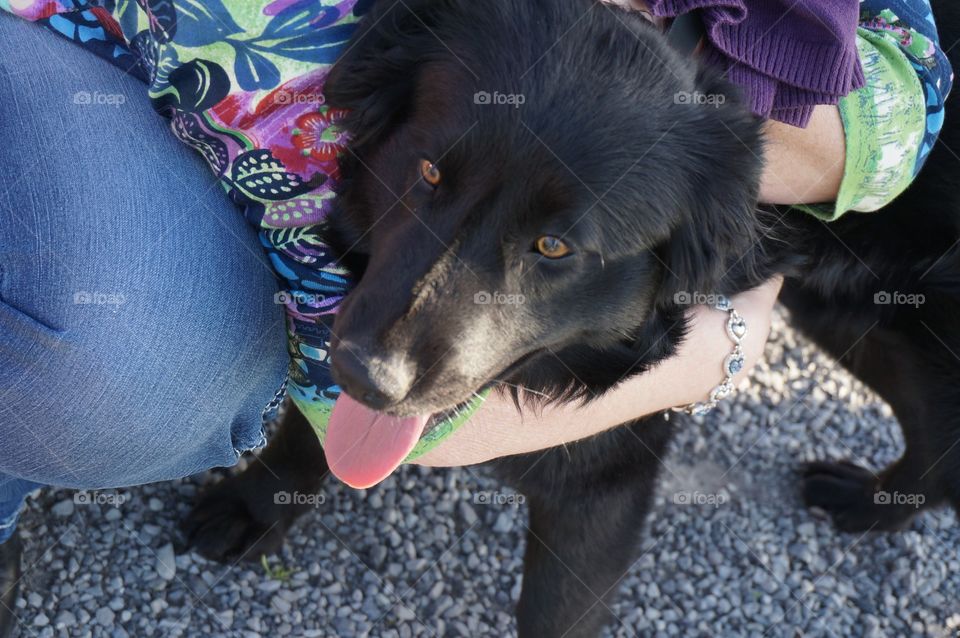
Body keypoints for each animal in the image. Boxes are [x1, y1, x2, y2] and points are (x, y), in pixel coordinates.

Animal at [186, 2, 960, 636]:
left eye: (554, 247)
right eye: (430, 172)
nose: (366, 375)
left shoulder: (609, 474)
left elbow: (555, 611)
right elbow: (308, 426)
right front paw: (258, 504)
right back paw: (872, 504)